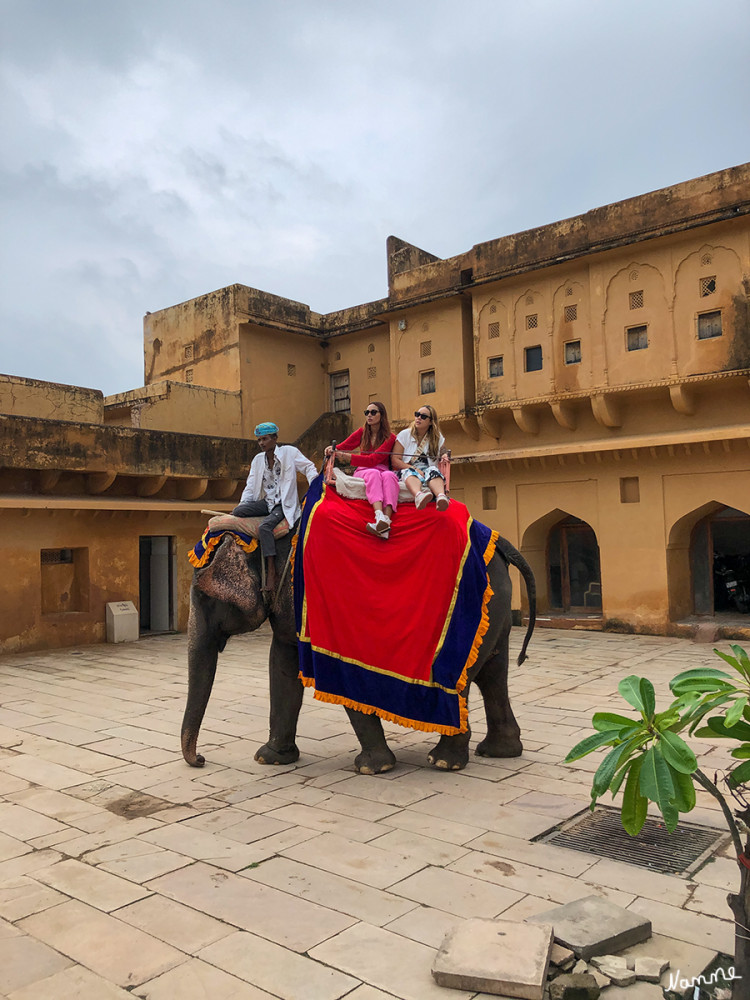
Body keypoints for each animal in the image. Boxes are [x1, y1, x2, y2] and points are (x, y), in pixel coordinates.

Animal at [181, 524, 536, 772]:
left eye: (203, 597)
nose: (201, 759)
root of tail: (501, 543)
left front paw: (373, 768)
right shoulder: (287, 608)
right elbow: (281, 666)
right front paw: (270, 759)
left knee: (463, 679)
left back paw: (444, 762)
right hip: (497, 608)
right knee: (492, 674)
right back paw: (499, 752)